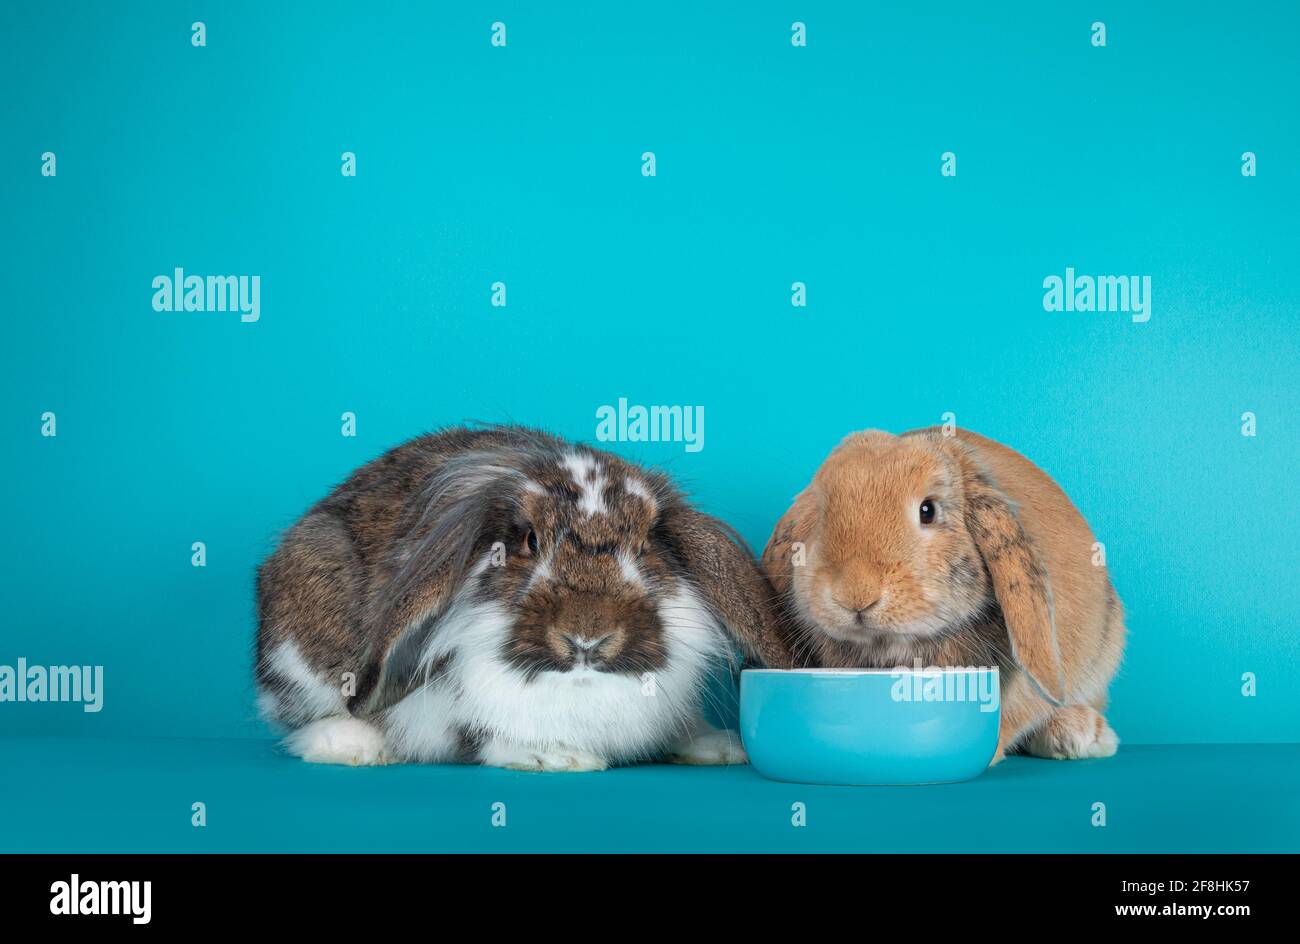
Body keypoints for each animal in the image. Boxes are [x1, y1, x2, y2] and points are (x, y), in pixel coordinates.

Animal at [255, 425, 792, 771]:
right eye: (530, 541)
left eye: (645, 546)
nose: (587, 637)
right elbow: (483, 738)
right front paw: (560, 757)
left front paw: (720, 748)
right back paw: (349, 744)